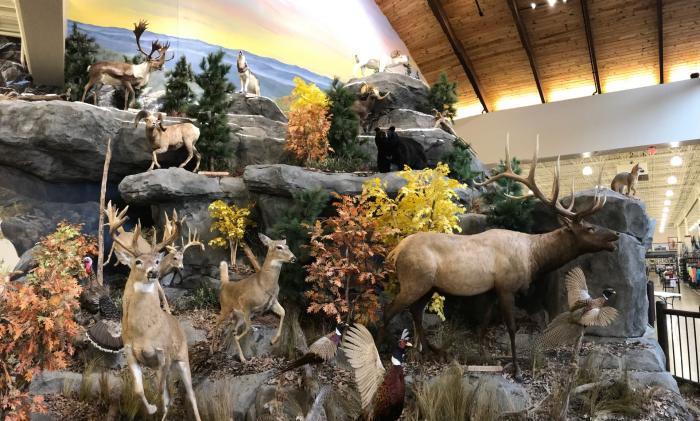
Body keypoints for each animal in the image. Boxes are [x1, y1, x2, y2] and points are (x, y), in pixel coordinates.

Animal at [105, 202, 201, 421]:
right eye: (138, 262)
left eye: (156, 261)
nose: (153, 273)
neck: (144, 333)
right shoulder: (131, 353)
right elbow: (140, 390)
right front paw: (151, 409)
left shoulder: (163, 353)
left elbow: (159, 393)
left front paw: (155, 408)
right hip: (161, 367)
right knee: (170, 395)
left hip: (181, 358)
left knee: (191, 394)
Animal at [213, 233, 296, 362]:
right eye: (279, 247)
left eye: (287, 246)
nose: (293, 258)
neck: (264, 283)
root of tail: (226, 284)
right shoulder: (245, 302)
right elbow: (248, 327)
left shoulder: (272, 302)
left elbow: (283, 312)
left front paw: (273, 341)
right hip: (226, 308)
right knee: (216, 323)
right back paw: (212, 349)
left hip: (238, 315)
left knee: (232, 328)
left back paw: (242, 358)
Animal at [382, 138, 620, 381]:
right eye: (590, 228)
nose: (615, 235)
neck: (533, 257)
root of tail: (397, 250)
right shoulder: (507, 286)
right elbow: (511, 327)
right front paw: (516, 369)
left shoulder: (492, 290)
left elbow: (484, 323)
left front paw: (483, 356)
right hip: (415, 280)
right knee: (388, 311)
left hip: (428, 285)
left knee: (416, 312)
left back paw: (430, 353)